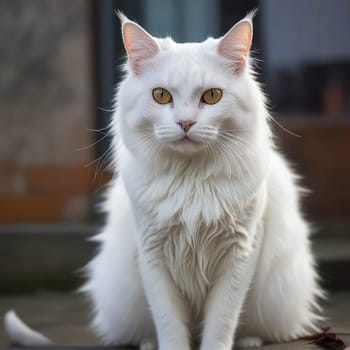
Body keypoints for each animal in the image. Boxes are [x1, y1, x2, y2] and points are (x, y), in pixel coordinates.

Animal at [4, 11, 322, 350]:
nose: (185, 122)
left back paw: (250, 340)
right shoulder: (152, 253)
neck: (191, 181)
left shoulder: (240, 251)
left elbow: (221, 323)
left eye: (212, 96)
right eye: (161, 96)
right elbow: (169, 323)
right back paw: (147, 343)